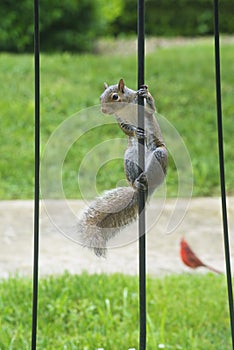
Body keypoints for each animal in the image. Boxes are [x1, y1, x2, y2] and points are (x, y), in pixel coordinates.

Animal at [77, 78, 167, 258]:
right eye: (100, 97)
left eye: (115, 96)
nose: (103, 110)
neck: (125, 107)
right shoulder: (120, 120)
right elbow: (126, 128)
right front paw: (136, 132)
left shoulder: (144, 111)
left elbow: (152, 109)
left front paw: (146, 93)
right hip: (130, 156)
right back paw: (138, 182)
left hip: (159, 155)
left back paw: (146, 178)